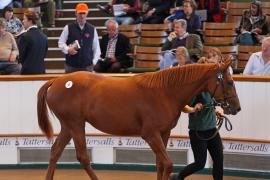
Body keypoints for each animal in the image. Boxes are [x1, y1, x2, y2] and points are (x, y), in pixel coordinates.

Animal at [37, 58, 240, 180]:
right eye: (230, 82)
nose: (236, 108)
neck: (164, 92)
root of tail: (57, 81)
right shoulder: (150, 134)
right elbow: (168, 163)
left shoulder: (163, 133)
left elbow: (160, 164)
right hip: (76, 124)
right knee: (83, 157)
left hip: (68, 126)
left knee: (55, 152)